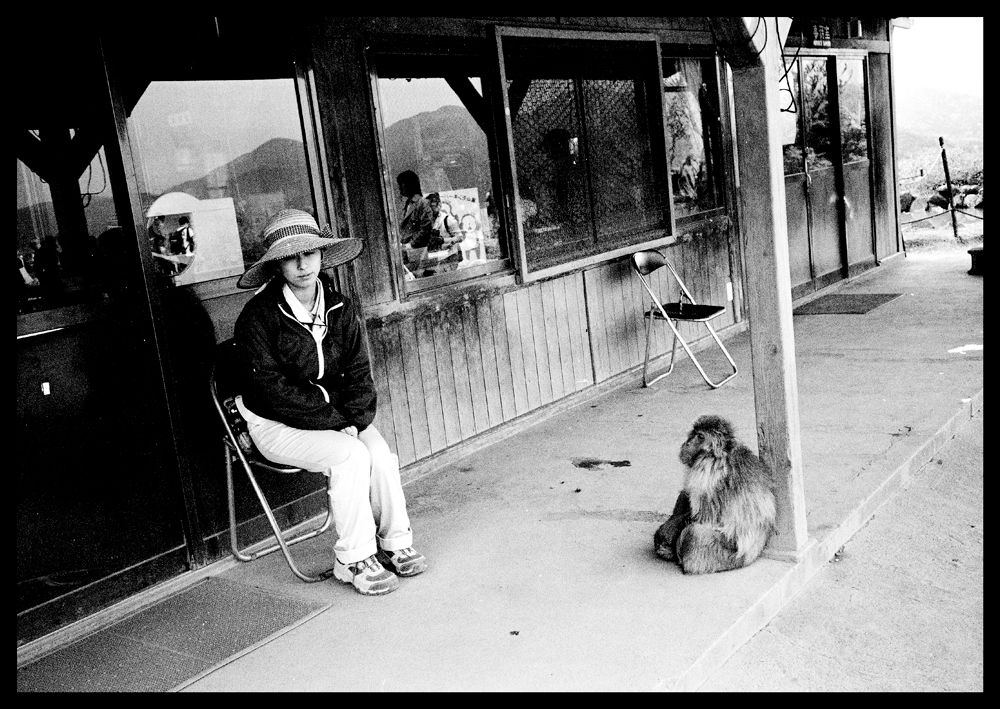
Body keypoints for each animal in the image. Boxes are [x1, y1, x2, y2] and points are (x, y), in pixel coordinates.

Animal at [652, 414, 776, 576]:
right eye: (694, 434)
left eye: (700, 436)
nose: (687, 442)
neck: (721, 453)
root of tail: (753, 556)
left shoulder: (707, 469)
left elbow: (703, 518)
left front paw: (665, 534)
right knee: (686, 495)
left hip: (724, 557)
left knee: (694, 533)